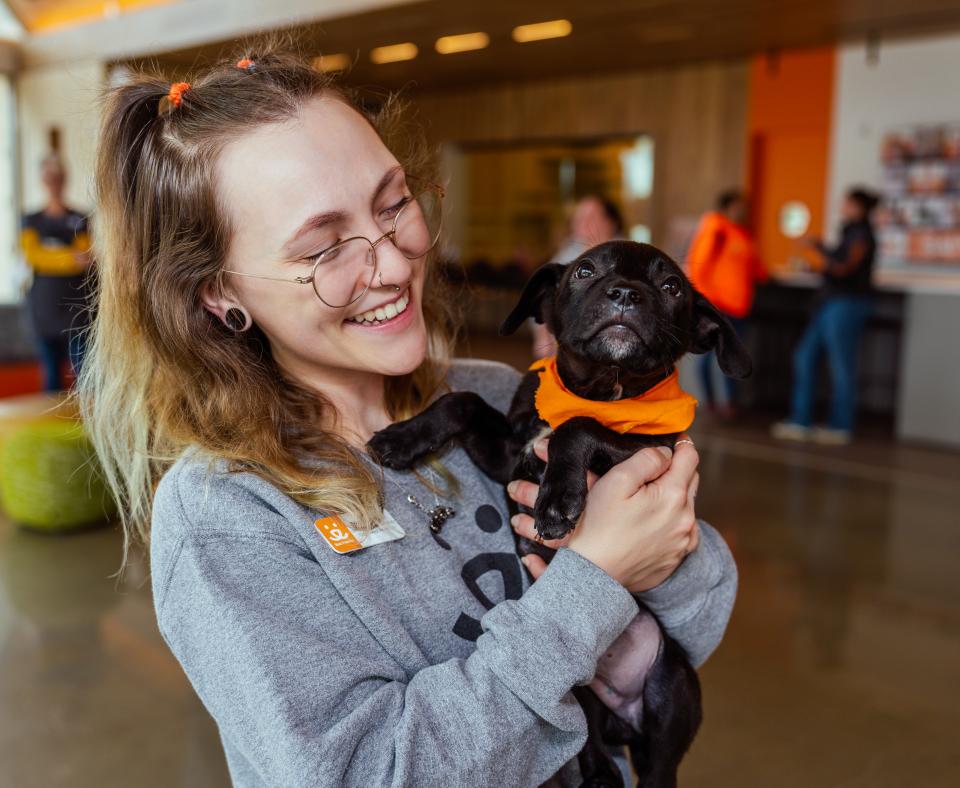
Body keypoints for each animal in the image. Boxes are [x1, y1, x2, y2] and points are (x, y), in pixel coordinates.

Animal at [368, 242, 752, 788]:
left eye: (672, 287)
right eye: (585, 271)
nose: (626, 293)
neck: (600, 387)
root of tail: (622, 717)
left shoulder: (650, 451)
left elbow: (579, 426)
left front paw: (557, 501)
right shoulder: (508, 455)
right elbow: (462, 400)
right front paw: (401, 438)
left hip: (672, 691)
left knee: (656, 770)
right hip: (577, 695)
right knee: (591, 742)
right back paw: (599, 775)